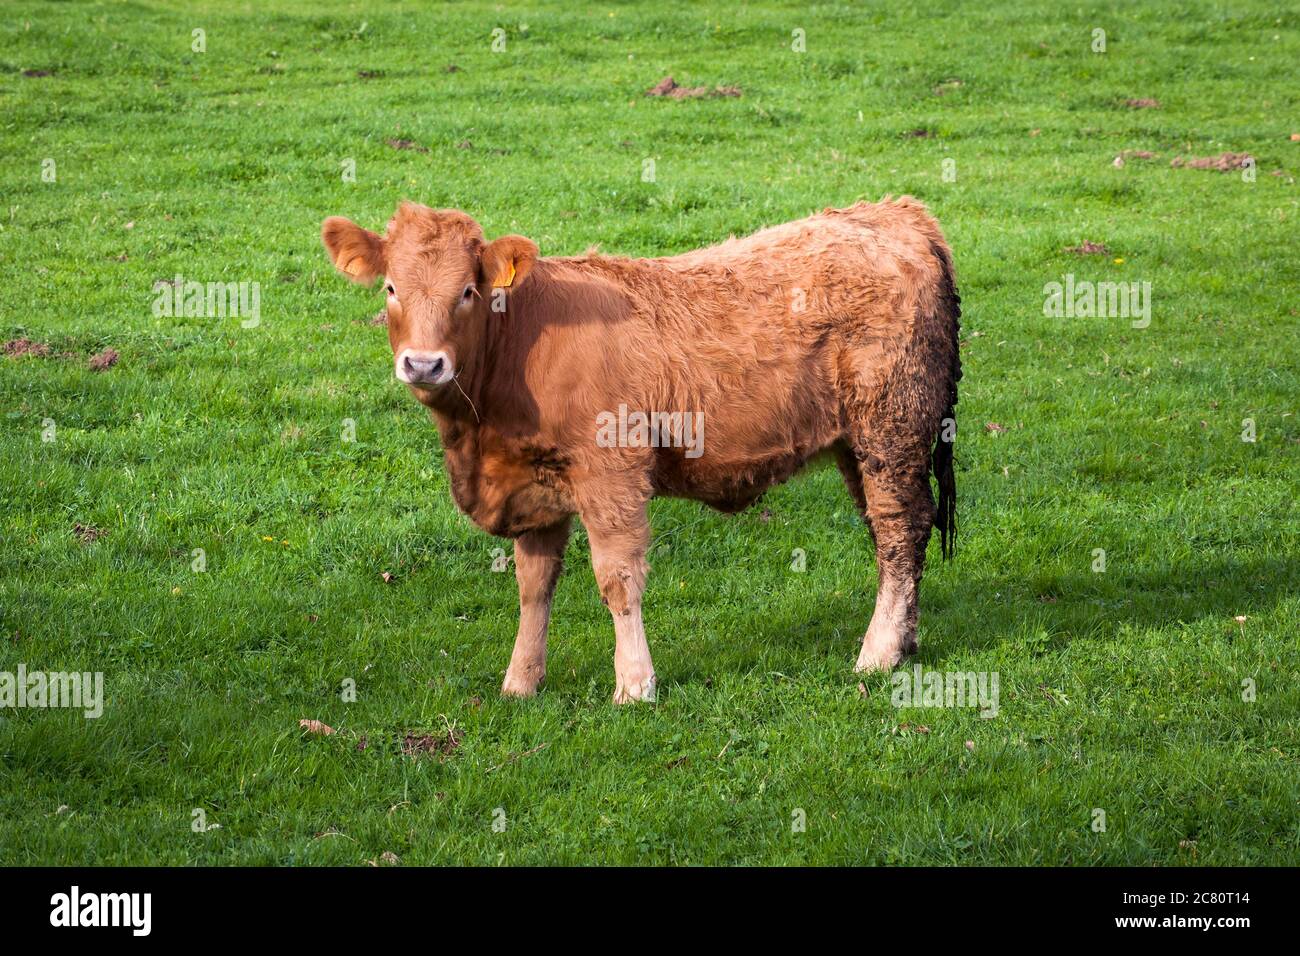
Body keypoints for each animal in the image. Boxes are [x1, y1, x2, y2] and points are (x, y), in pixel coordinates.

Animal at [321, 196, 961, 702]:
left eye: (469, 291)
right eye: (391, 288)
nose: (423, 364)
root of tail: (894, 213)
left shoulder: (611, 473)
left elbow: (617, 578)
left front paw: (634, 683)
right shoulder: (536, 488)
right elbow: (534, 587)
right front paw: (521, 682)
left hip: (891, 428)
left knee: (900, 529)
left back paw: (878, 653)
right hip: (860, 444)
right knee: (892, 534)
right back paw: (904, 641)